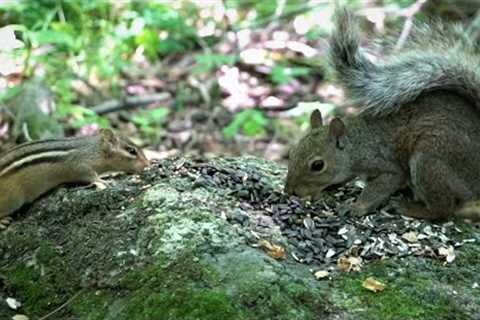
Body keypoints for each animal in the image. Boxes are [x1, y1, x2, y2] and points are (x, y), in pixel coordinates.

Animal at [284, 6, 480, 220]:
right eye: (292, 152)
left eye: (317, 165)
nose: (289, 191)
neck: (355, 145)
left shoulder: (385, 165)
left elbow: (382, 185)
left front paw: (356, 207)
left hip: (430, 161)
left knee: (443, 208)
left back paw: (409, 208)